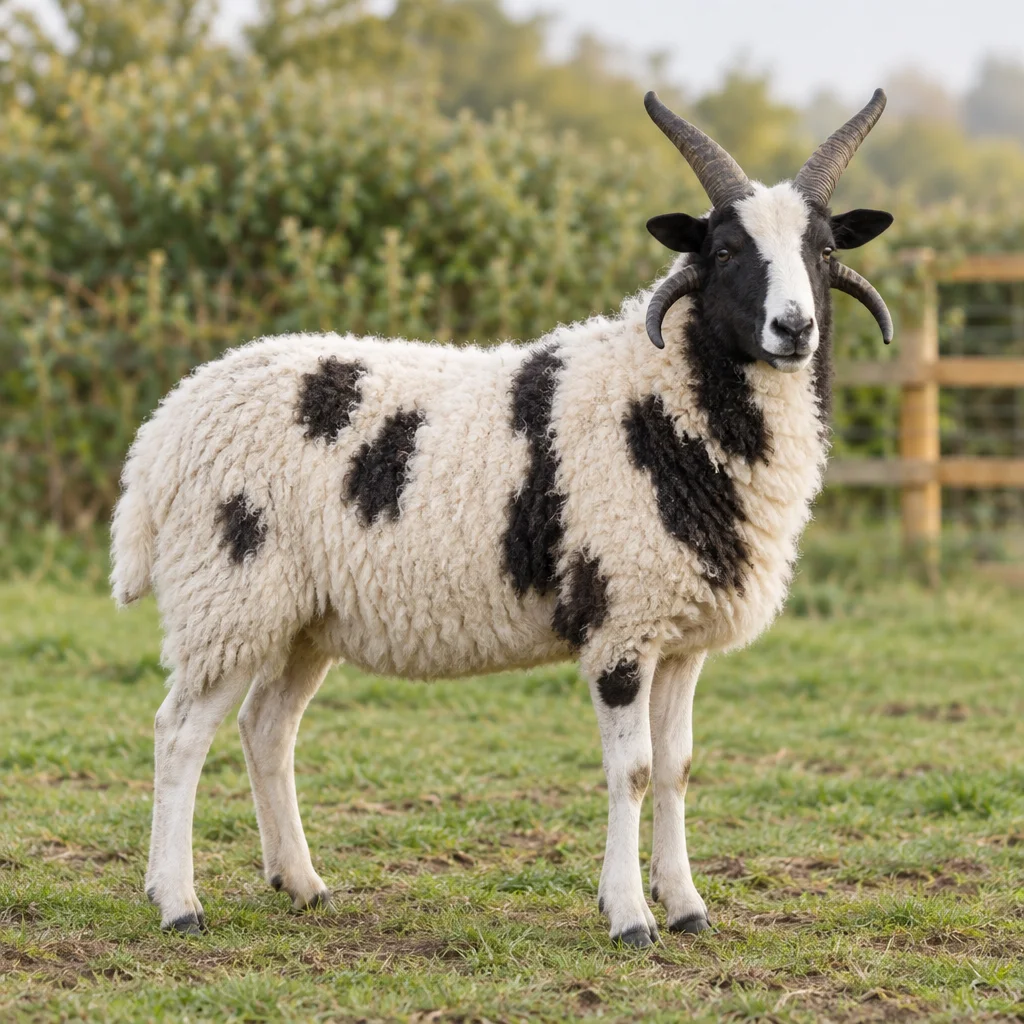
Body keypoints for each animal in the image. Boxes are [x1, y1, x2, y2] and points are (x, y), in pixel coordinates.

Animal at [111, 89, 895, 946]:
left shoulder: (679, 633)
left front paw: (687, 906)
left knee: (265, 729)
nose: (794, 329)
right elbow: (633, 771)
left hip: (300, 616)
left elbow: (677, 766)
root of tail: (164, 429)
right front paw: (630, 916)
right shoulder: (620, 623)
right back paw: (177, 902)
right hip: (227, 594)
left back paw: (302, 884)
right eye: (722, 252)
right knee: (179, 733)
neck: (663, 397)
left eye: (823, 249)